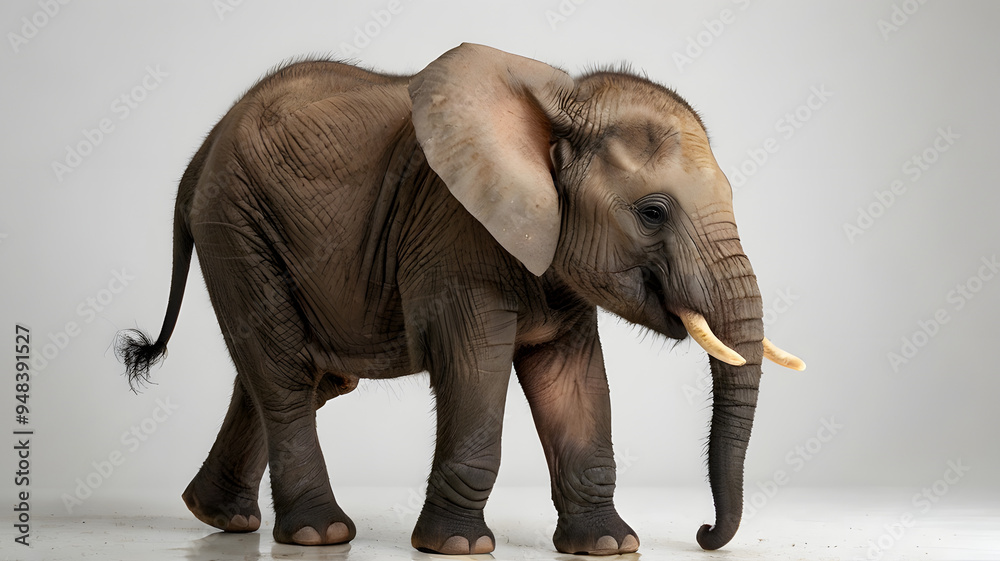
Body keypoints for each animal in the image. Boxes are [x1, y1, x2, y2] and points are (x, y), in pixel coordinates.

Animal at [117, 43, 804, 555]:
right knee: (285, 375)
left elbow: (573, 380)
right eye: (653, 212)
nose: (705, 534)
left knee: (299, 376)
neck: (556, 110)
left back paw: (221, 518)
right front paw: (457, 547)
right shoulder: (454, 231)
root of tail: (201, 154)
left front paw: (609, 546)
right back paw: (320, 533)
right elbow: (475, 367)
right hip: (236, 222)